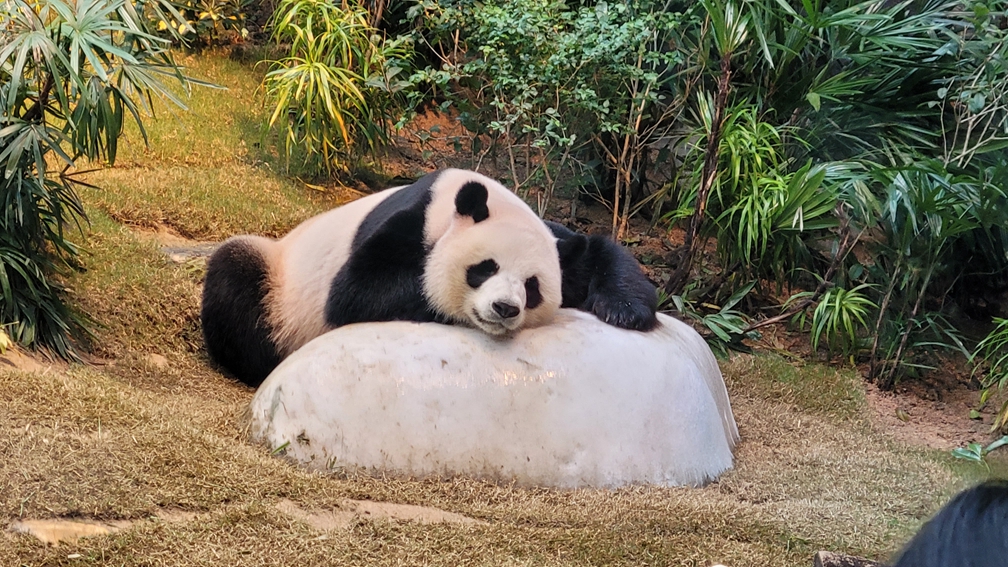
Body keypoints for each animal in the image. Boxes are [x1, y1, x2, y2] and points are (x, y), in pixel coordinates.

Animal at [201, 168, 657, 387]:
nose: (504, 308)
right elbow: (355, 291)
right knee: (234, 275)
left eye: (532, 287)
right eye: (486, 268)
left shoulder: (553, 238)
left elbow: (592, 253)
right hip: (280, 280)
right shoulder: (407, 221)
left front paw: (627, 310)